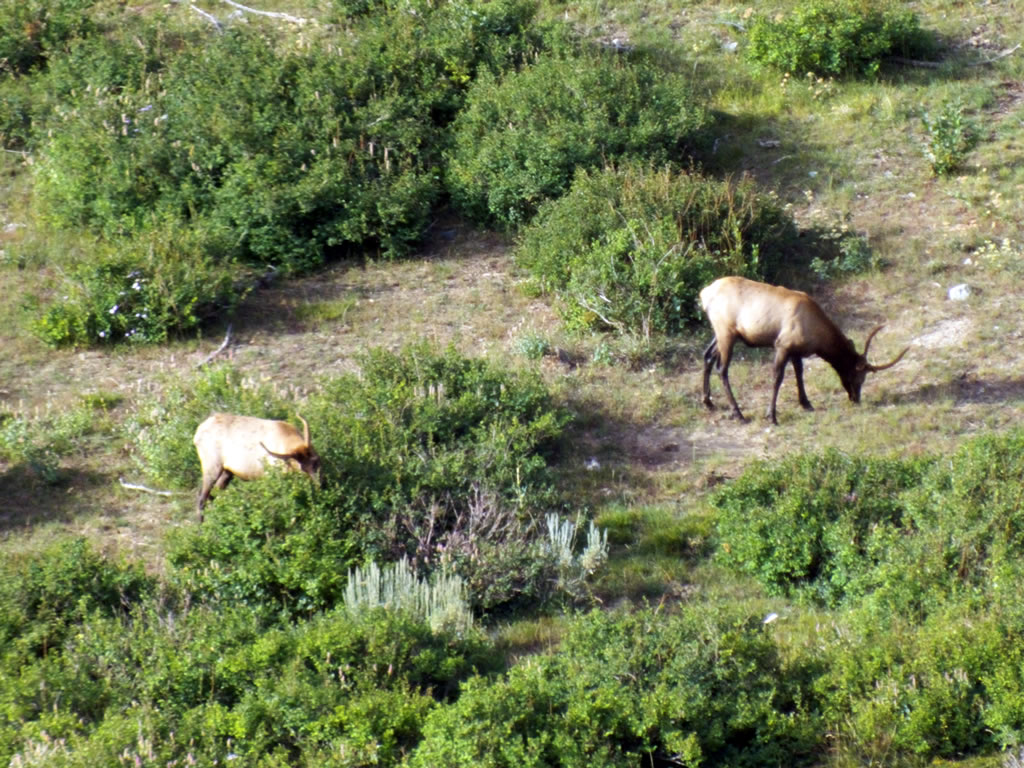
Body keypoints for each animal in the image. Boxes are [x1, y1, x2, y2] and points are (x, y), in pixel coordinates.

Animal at [192, 413, 321, 521]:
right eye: (302, 469)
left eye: (317, 461)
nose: (319, 485)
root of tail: (197, 434)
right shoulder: (271, 476)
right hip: (212, 466)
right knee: (201, 497)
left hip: (227, 472)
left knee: (213, 496)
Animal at [700, 276, 908, 425]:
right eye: (858, 377)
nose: (856, 399)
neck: (818, 336)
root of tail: (704, 294)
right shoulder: (782, 345)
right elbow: (777, 378)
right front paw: (772, 416)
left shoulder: (796, 350)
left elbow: (799, 373)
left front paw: (806, 403)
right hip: (726, 332)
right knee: (722, 369)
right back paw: (738, 414)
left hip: (721, 334)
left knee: (707, 356)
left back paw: (708, 402)